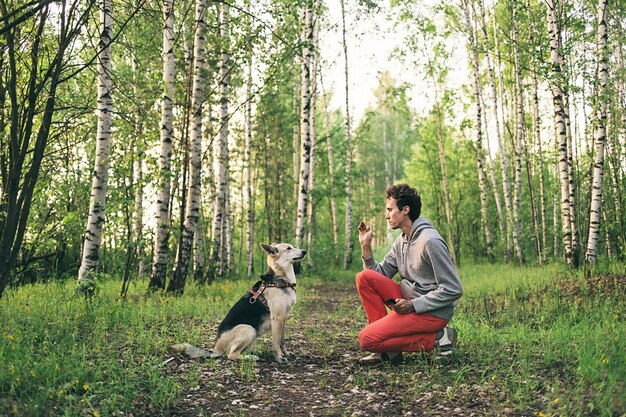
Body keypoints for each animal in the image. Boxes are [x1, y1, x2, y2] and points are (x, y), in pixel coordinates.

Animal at [172, 242, 306, 362]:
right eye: (289, 248)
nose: (304, 251)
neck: (281, 280)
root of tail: (215, 349)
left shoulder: (284, 318)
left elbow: (282, 340)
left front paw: (286, 354)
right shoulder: (277, 319)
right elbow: (276, 342)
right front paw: (279, 358)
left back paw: (252, 353)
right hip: (249, 329)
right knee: (231, 355)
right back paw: (251, 357)